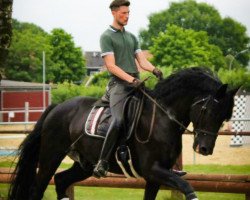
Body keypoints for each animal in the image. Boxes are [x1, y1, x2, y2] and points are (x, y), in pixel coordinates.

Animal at [8, 67, 238, 200]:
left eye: (225, 117)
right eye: (209, 111)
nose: (205, 149)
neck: (163, 117)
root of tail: (57, 107)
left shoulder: (156, 177)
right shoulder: (154, 170)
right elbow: (187, 187)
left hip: (84, 164)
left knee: (62, 181)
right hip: (51, 156)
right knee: (37, 189)